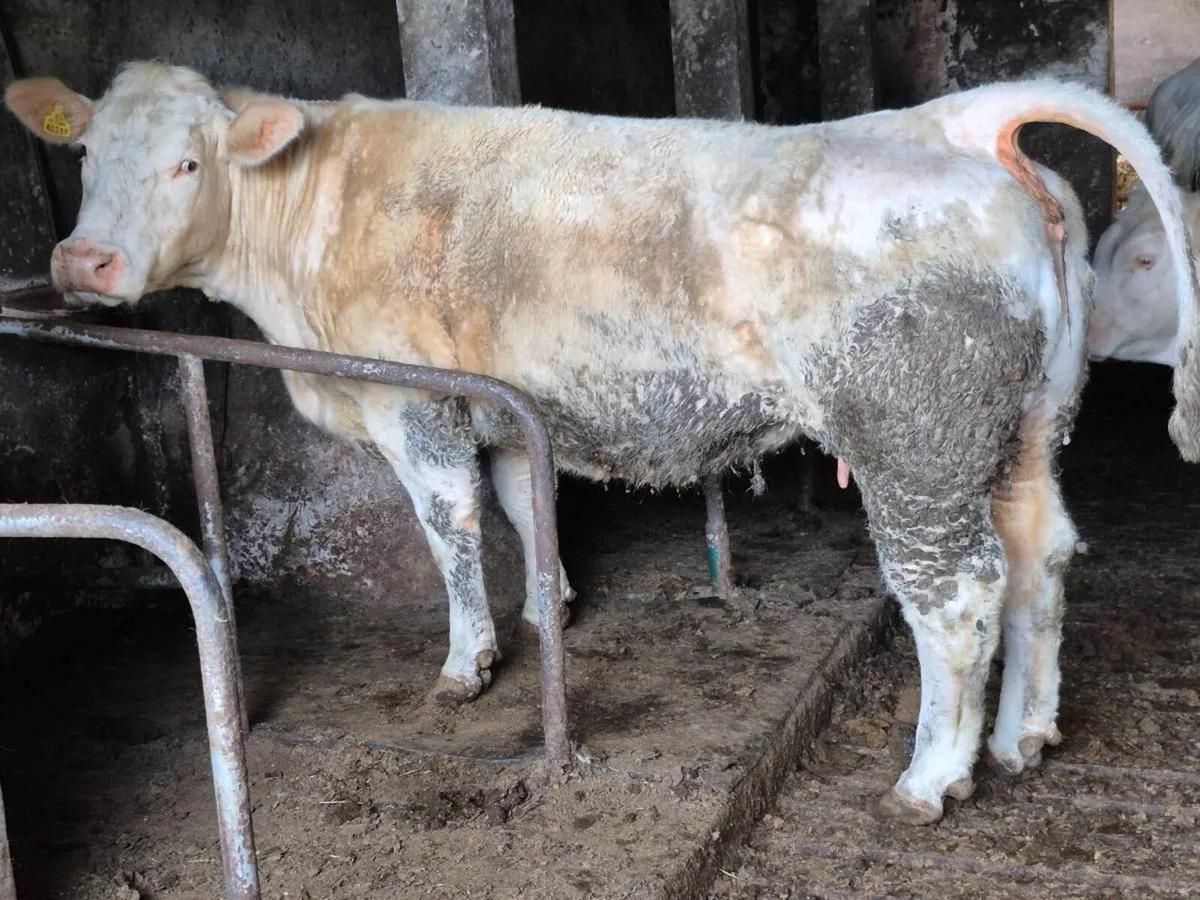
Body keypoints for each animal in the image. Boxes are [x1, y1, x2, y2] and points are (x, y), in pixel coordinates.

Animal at [5, 61, 1198, 825]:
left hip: (917, 441)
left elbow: (447, 523)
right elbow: (520, 506)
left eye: (188, 165)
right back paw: (1021, 738)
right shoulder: (499, 405)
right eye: (88, 155)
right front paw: (551, 612)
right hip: (1023, 429)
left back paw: (931, 777)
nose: (83, 263)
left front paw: (469, 664)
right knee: (1042, 560)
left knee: (956, 593)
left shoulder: (415, 402)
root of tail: (948, 120)